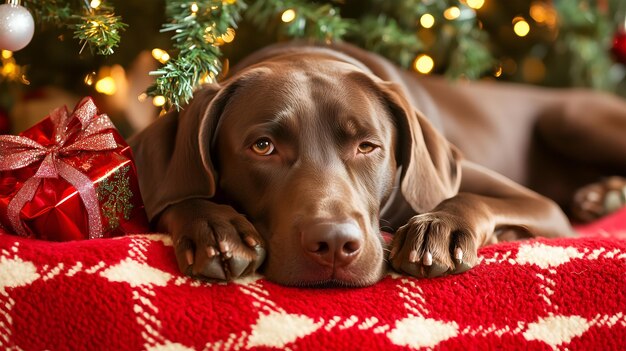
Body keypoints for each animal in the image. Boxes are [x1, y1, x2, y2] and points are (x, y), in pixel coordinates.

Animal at [130, 42, 624, 288]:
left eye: (368, 146)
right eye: (263, 146)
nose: (333, 244)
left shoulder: (542, 207)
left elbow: (470, 197)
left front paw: (439, 231)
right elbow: (179, 195)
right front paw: (215, 228)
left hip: (569, 115)